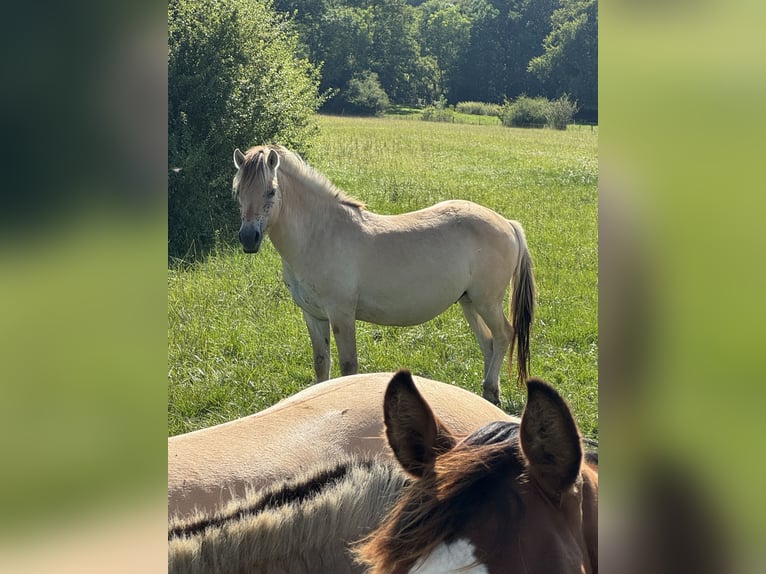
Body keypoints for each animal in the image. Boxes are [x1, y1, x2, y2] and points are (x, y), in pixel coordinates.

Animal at [234, 146, 540, 402]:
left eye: (271, 191)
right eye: (238, 192)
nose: (249, 238)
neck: (319, 234)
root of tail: (508, 224)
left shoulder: (341, 314)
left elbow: (348, 366)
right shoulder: (313, 315)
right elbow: (322, 364)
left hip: (487, 301)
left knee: (503, 335)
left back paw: (490, 390)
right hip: (468, 301)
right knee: (488, 343)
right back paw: (487, 396)